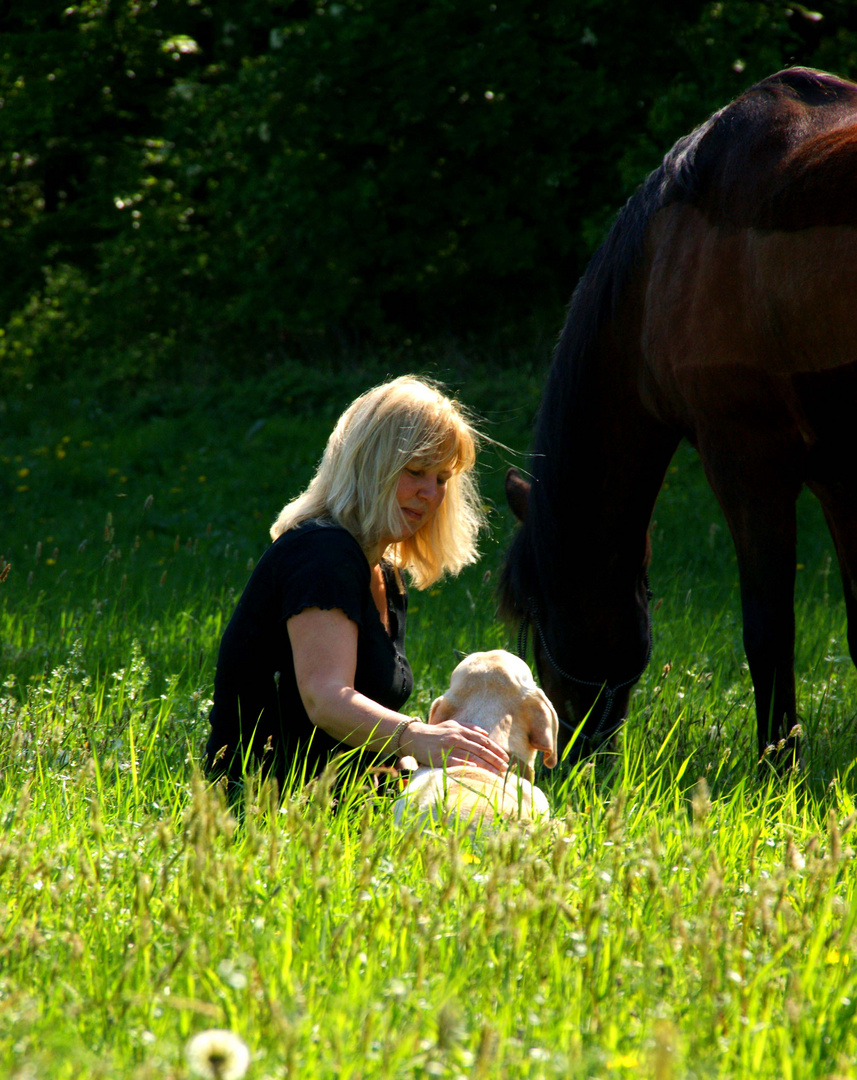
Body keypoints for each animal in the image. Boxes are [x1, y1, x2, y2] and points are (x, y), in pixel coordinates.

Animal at [496, 67, 854, 768]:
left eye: (541, 620)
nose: (566, 756)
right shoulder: (837, 476)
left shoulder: (746, 459)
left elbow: (768, 630)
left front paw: (779, 764)